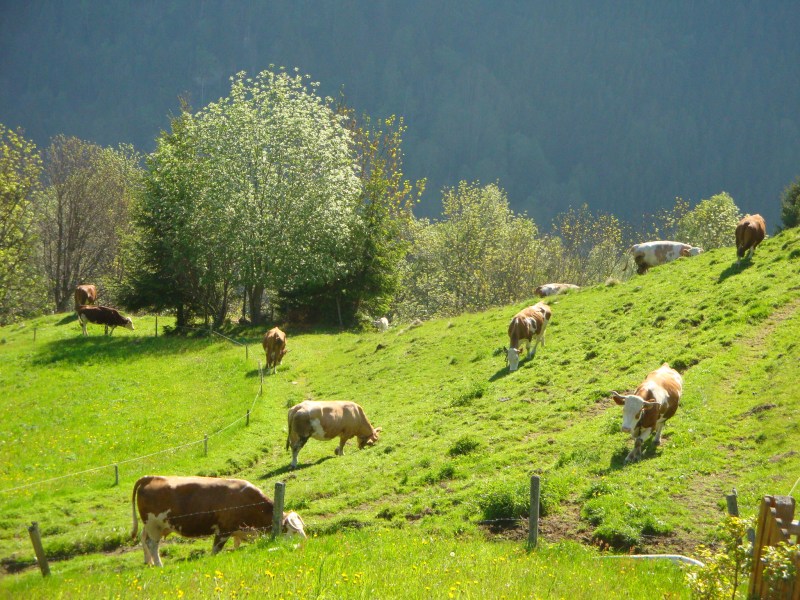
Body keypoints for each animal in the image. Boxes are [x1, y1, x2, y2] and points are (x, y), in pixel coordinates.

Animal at [131, 475, 306, 566]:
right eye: (293, 530)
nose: (305, 542)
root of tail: (150, 477)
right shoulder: (224, 530)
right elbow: (215, 550)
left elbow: (236, 544)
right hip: (154, 525)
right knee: (153, 544)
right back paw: (159, 565)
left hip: (153, 526)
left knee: (144, 540)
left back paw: (149, 562)